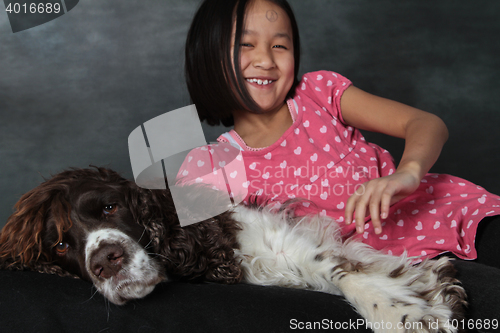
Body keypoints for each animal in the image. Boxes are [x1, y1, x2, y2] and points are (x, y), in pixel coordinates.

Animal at [1, 166, 466, 332]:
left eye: (110, 207)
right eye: (62, 244)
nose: (105, 261)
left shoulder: (289, 244)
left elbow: (345, 272)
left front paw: (408, 314)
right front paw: (427, 292)